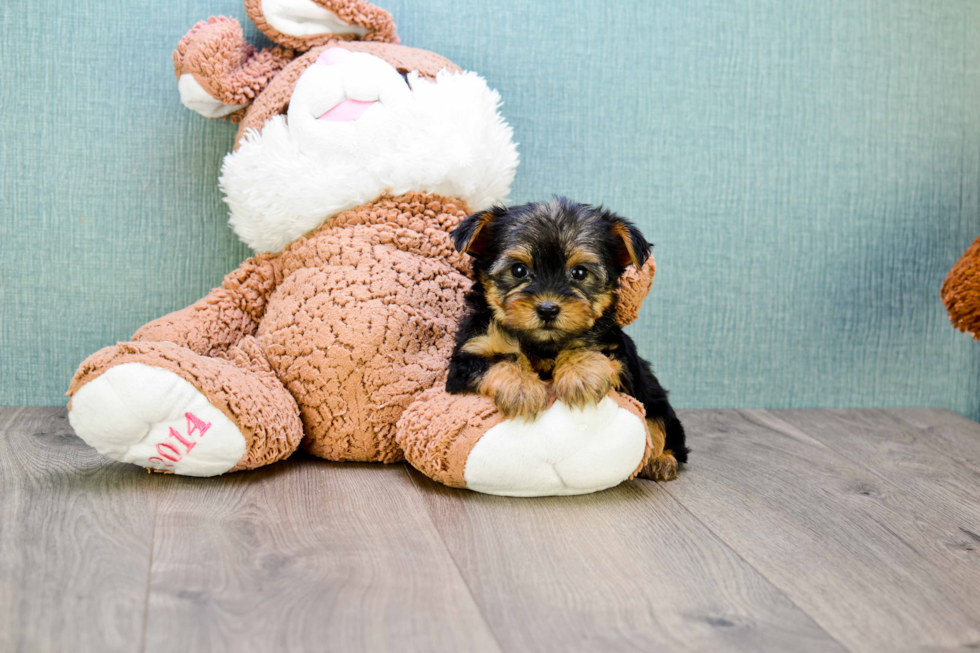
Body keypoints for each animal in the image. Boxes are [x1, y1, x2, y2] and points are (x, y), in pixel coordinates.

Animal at [446, 195, 684, 478]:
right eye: (518, 270)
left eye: (579, 273)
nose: (548, 309)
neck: (544, 344)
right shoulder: (468, 356)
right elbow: (501, 359)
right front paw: (523, 388)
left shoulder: (621, 360)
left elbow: (589, 350)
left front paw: (579, 376)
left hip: (657, 401)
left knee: (662, 429)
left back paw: (661, 461)